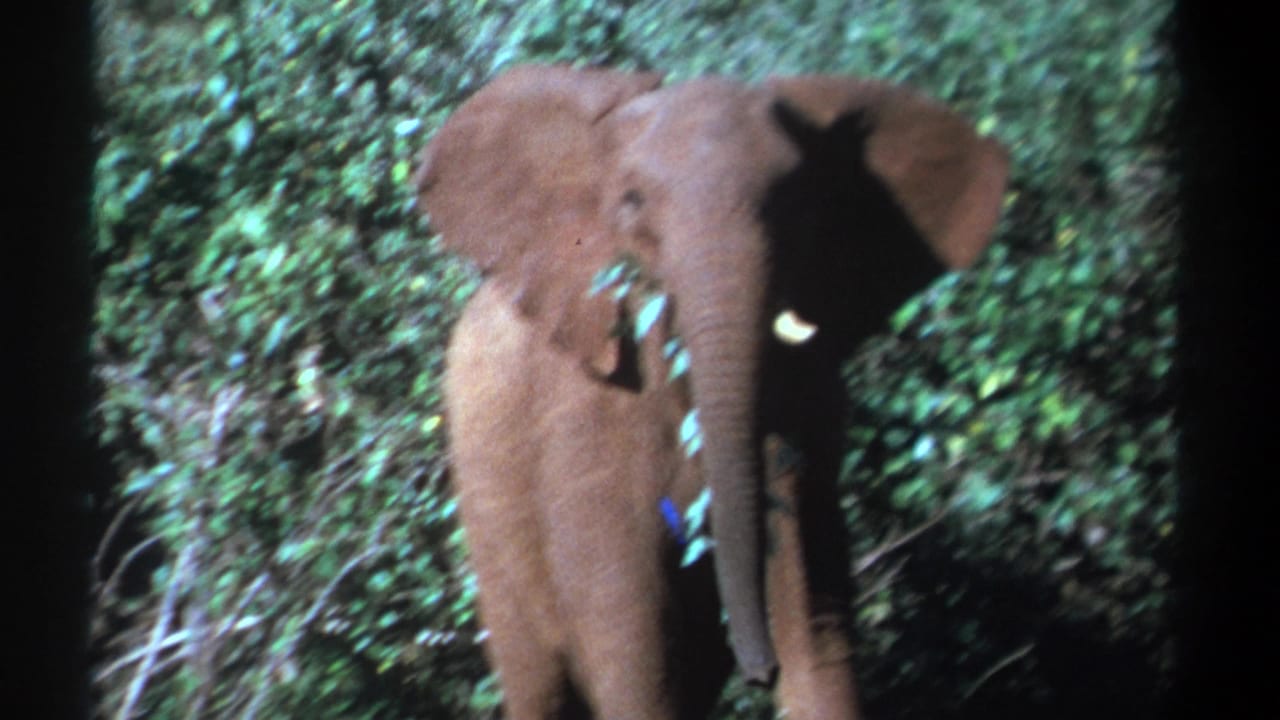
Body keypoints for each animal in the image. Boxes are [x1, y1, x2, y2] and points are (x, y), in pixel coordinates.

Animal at [413, 64, 1007, 719]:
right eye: (632, 201)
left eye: (797, 202)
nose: (760, 672)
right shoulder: (583, 433)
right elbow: (633, 661)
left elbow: (816, 624)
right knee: (541, 682)